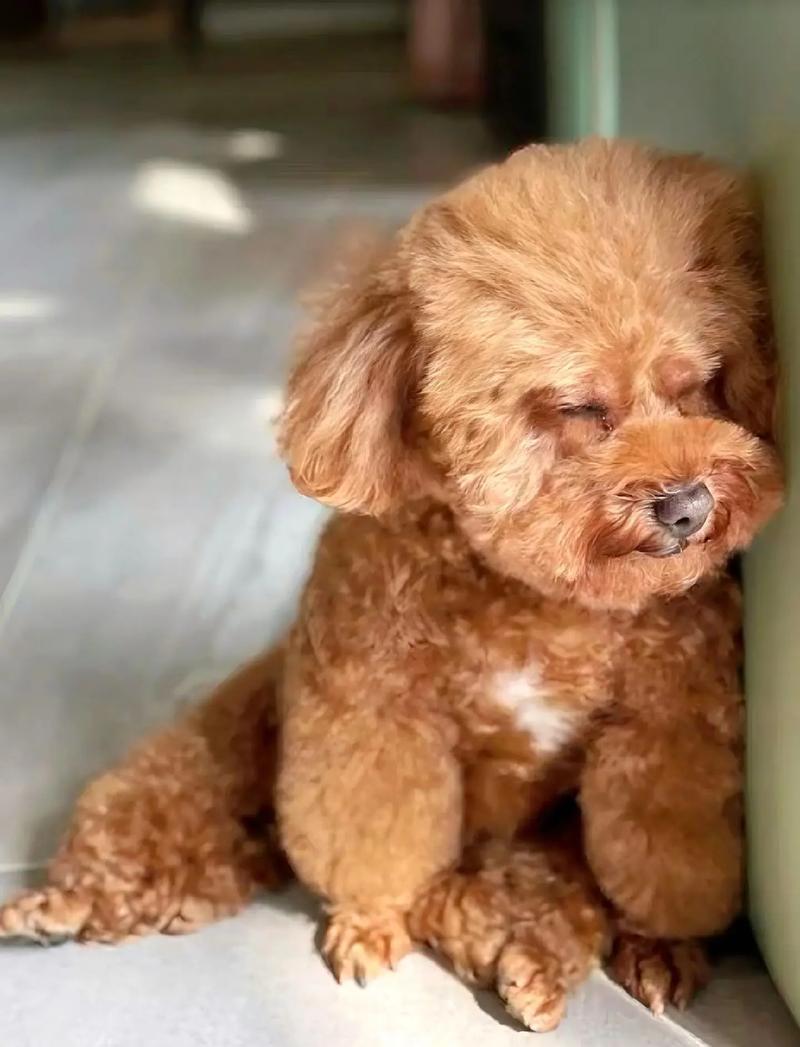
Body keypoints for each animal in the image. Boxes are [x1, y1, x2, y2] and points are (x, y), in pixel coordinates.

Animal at [0, 140, 782, 1031]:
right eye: (580, 406)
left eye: (701, 382)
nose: (689, 506)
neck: (533, 594)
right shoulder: (370, 711)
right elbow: (377, 832)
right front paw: (370, 919)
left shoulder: (670, 726)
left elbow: (661, 857)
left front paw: (666, 936)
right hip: (232, 733)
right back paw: (67, 903)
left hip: (543, 836)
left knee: (535, 895)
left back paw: (543, 960)